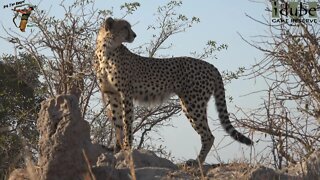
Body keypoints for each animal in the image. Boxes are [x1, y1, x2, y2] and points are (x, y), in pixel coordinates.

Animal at [94, 17, 254, 165]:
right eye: (125, 27)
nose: (134, 35)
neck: (106, 50)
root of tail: (211, 65)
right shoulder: (112, 94)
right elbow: (117, 123)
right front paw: (116, 148)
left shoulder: (125, 94)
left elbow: (127, 123)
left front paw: (127, 148)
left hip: (193, 103)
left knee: (209, 136)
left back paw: (197, 162)